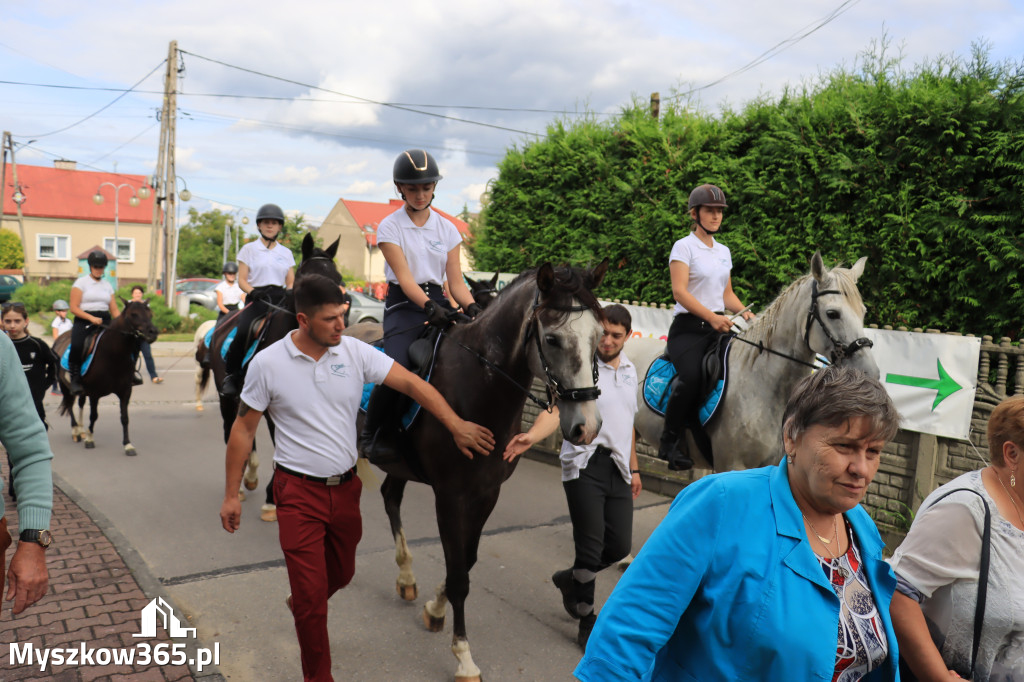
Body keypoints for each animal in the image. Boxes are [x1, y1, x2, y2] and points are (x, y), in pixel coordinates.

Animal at [54, 299, 157, 454]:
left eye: (150, 314)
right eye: (133, 314)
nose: (153, 332)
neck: (113, 354)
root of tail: (60, 338)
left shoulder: (125, 391)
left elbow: (125, 418)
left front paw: (128, 444)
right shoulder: (94, 393)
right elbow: (94, 415)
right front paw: (90, 439)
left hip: (82, 390)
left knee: (80, 403)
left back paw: (81, 429)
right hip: (65, 386)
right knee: (70, 404)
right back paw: (76, 431)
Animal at [352, 260, 606, 679]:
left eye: (599, 337)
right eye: (553, 339)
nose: (586, 426)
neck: (479, 387)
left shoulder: (487, 492)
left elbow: (466, 563)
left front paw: (435, 608)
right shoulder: (449, 495)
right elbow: (459, 576)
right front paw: (463, 656)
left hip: (400, 465)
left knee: (390, 499)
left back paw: (406, 577)